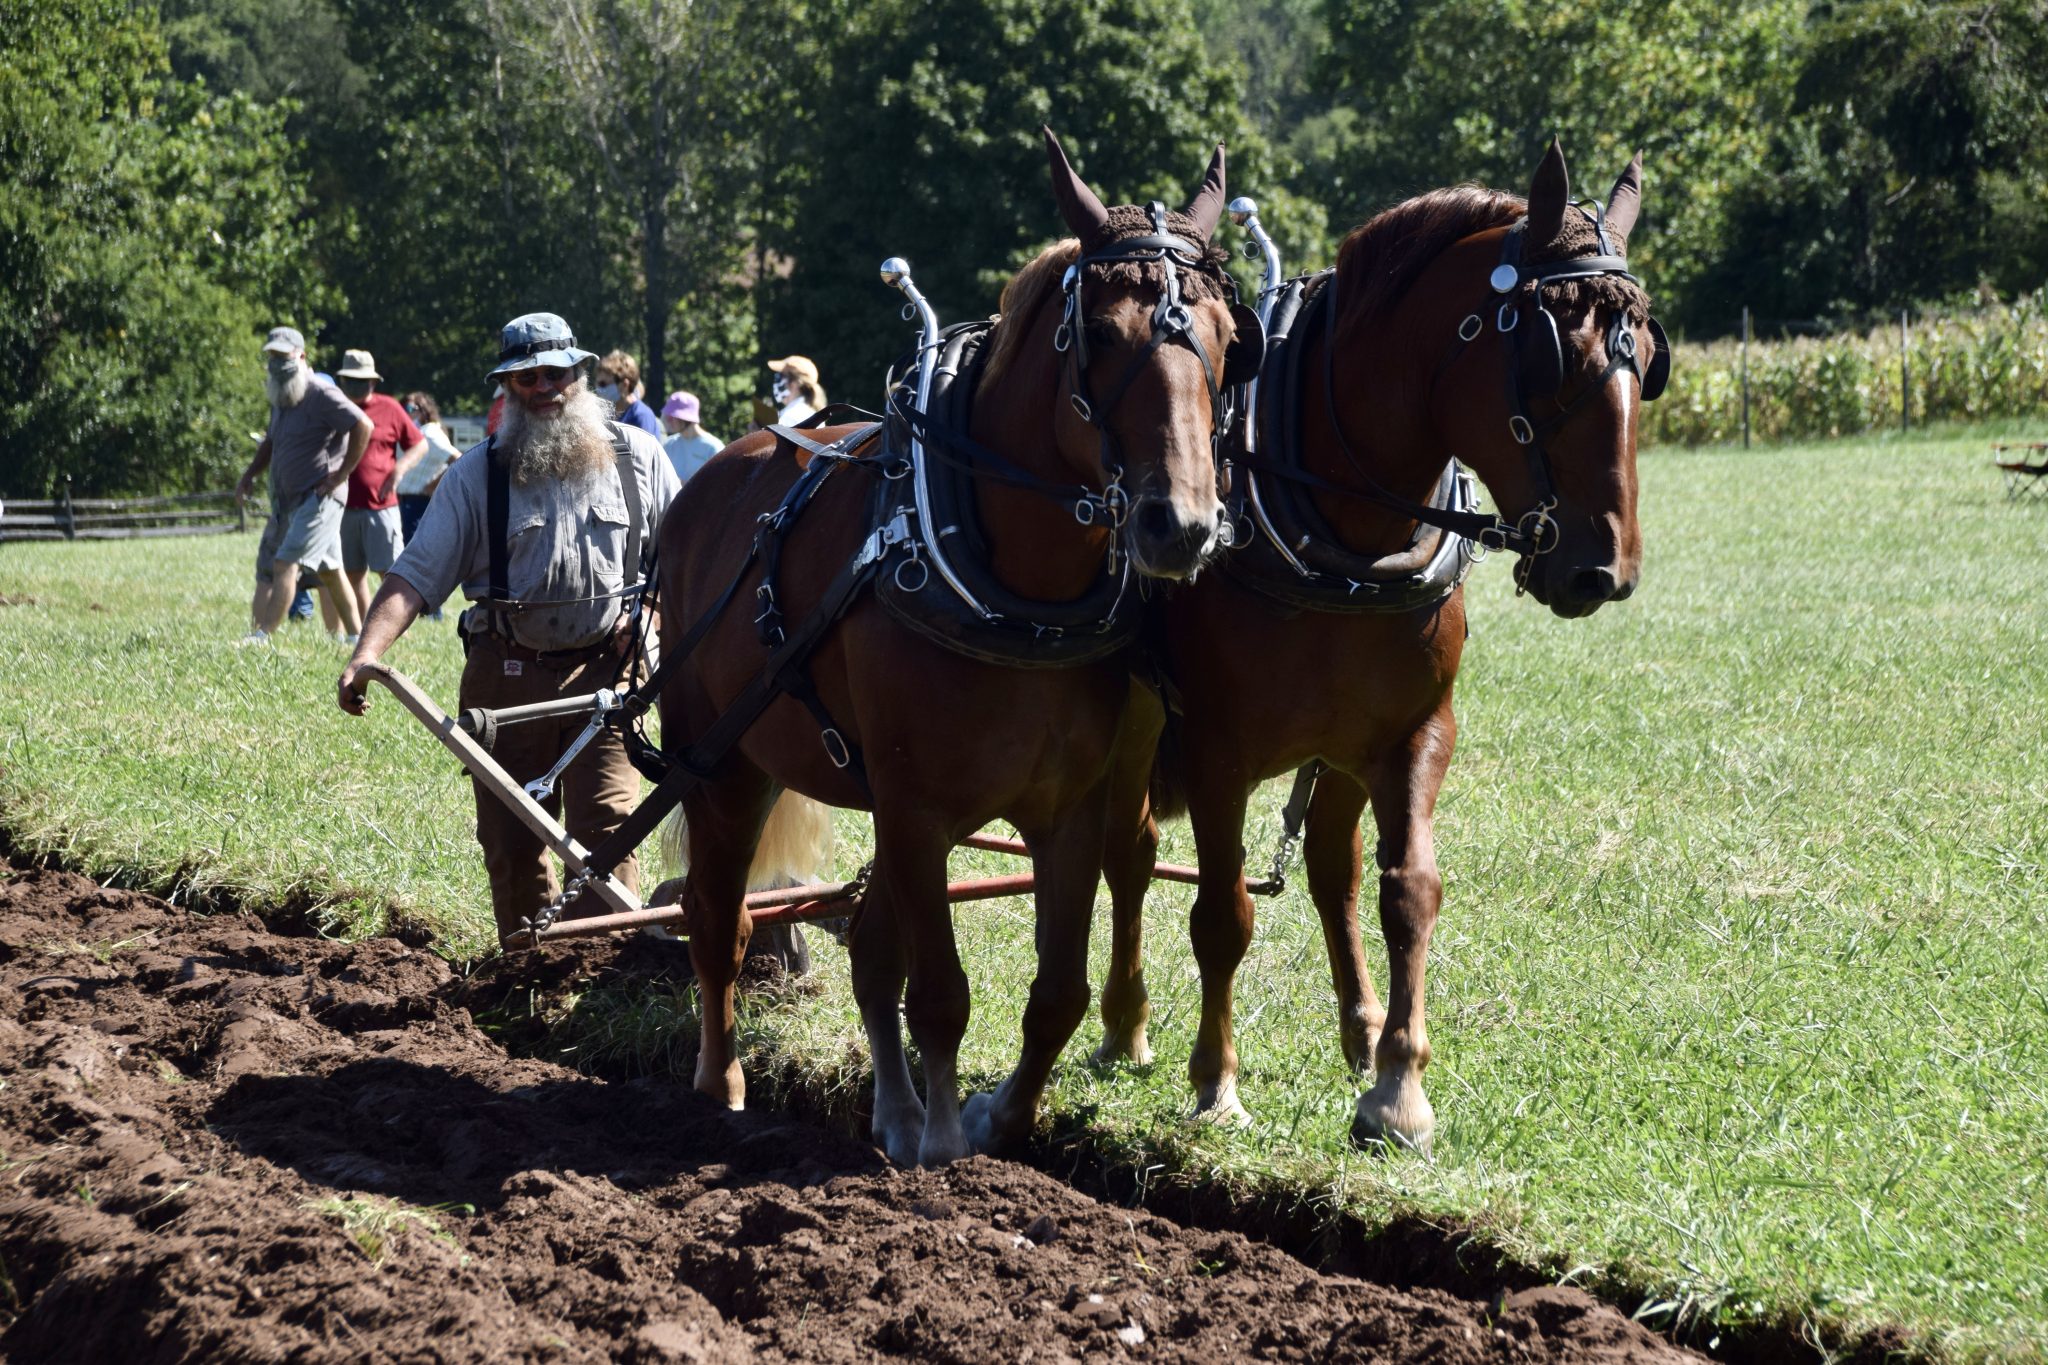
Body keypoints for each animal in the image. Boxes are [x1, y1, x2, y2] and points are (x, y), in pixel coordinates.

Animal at [663, 133, 1245, 1170]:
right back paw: (721, 1083)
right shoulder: (919, 809)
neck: (1018, 597)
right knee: (716, 923)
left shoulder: (1066, 814)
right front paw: (942, 1142)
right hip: (724, 767)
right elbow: (939, 992)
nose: (1180, 526)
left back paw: (889, 1110)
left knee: (866, 949)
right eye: (1101, 334)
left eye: (1224, 337)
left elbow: (1055, 994)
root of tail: (709, 482)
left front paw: (990, 1118)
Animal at [1097, 144, 1654, 1154]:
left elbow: (1409, 889)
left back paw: (1358, 1031)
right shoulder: (1217, 750)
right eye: (1554, 357)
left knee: (1330, 869)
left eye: (1649, 358)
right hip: (1137, 715)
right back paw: (1126, 1023)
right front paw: (1216, 1083)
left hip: (1341, 747)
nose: (1607, 569)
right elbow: (1221, 911)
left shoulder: (1412, 733)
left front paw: (1398, 1085)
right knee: (1129, 849)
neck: (1343, 519)